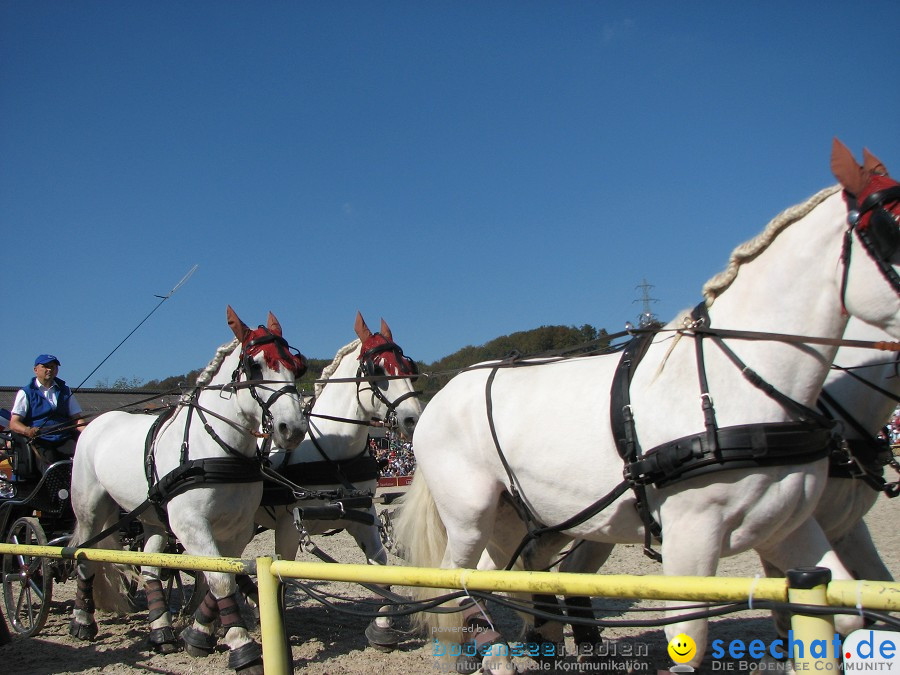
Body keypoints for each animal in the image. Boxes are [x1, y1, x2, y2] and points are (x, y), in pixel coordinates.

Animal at [67, 308, 310, 672]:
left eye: (296, 366)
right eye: (254, 365)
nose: (292, 429)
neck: (216, 449)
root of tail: (96, 421)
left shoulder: (237, 528)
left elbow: (218, 575)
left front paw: (198, 636)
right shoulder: (190, 524)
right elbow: (220, 580)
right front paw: (243, 649)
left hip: (153, 516)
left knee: (151, 566)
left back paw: (160, 631)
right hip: (90, 510)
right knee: (84, 557)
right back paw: (82, 621)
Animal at [253, 312, 422, 648]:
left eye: (408, 367)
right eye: (378, 370)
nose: (413, 419)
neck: (332, 451)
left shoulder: (361, 515)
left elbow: (380, 566)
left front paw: (381, 627)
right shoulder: (289, 526)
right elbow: (283, 574)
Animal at [398, 141, 900, 672]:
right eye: (890, 229)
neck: (737, 388)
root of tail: (438, 400)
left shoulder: (791, 528)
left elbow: (845, 614)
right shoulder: (691, 539)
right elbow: (690, 639)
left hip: (517, 516)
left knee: (503, 576)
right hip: (470, 513)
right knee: (454, 584)